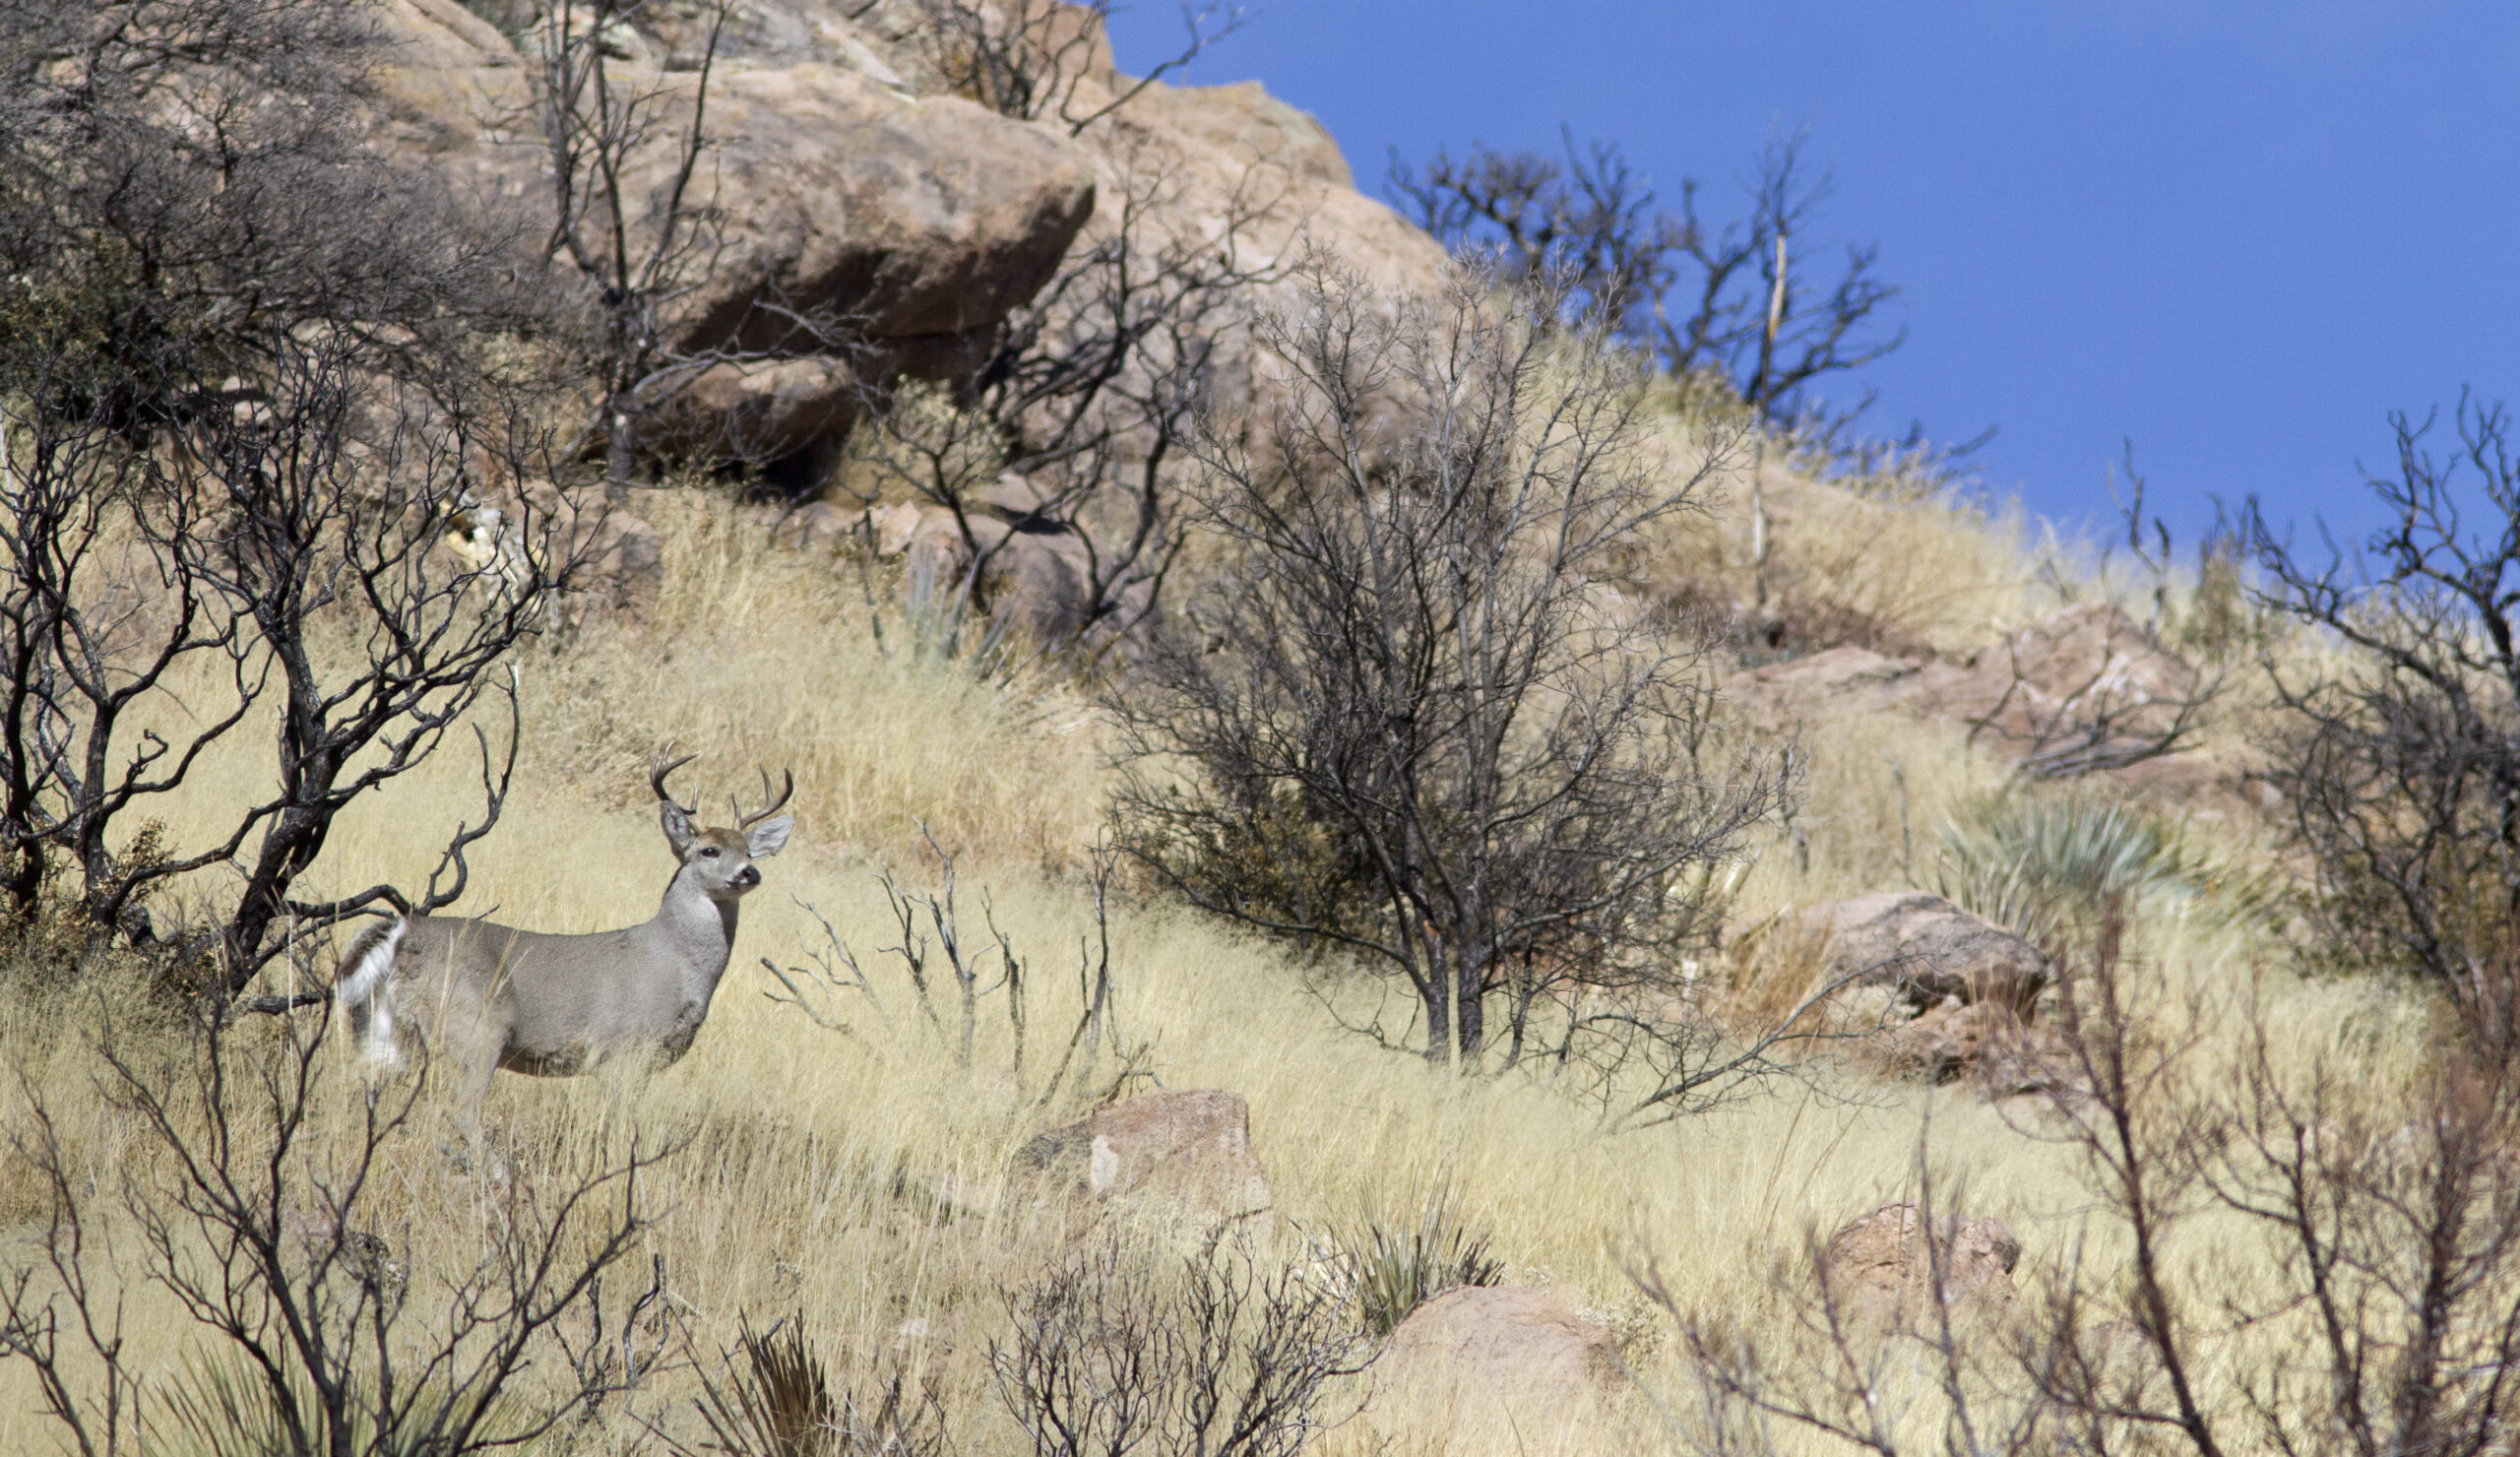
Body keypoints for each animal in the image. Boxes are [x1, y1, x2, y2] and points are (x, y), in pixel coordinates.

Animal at [335, 745, 786, 1124]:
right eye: (709, 850)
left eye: (748, 850)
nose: (749, 872)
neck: (672, 961)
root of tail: (401, 932)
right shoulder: (620, 1052)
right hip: (476, 1027)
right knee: (459, 1112)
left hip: (383, 1027)